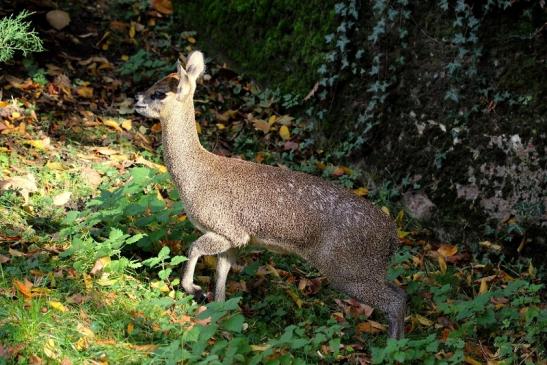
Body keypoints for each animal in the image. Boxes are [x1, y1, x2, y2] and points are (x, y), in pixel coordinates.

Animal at [134, 52, 404, 338]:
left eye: (160, 93)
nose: (137, 99)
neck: (196, 176)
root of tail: (392, 237)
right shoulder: (238, 239)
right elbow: (221, 274)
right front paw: (220, 313)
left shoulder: (226, 228)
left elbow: (194, 247)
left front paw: (193, 288)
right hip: (367, 271)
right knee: (400, 292)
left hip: (348, 270)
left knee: (396, 301)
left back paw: (394, 344)